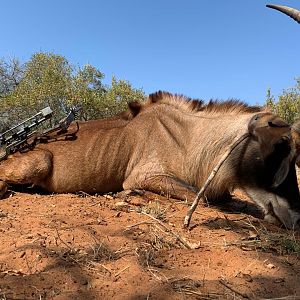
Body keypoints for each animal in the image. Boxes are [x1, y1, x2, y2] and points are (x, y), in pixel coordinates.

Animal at [0, 91, 300, 227]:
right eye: (279, 147)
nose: (295, 217)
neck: (188, 137)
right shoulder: (143, 176)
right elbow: (201, 198)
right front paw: (132, 195)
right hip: (39, 162)